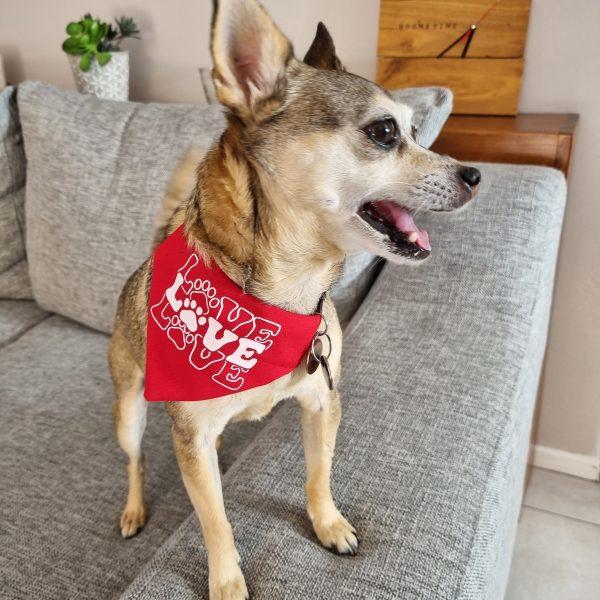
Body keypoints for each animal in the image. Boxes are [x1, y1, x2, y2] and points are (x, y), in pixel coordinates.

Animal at [109, 2, 478, 596]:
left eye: (418, 131)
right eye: (385, 132)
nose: (475, 175)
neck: (285, 298)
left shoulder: (322, 403)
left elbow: (318, 474)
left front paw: (328, 524)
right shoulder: (191, 435)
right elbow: (215, 522)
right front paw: (227, 581)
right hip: (129, 411)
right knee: (134, 461)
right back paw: (134, 509)